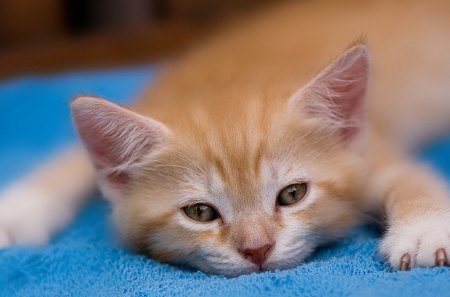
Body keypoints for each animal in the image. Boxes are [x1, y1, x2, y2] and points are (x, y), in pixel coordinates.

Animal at [0, 0, 450, 276]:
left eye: (292, 194)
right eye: (200, 212)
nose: (257, 250)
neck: (227, 84)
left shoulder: (368, 148)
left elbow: (408, 177)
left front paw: (425, 229)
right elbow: (72, 159)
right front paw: (21, 208)